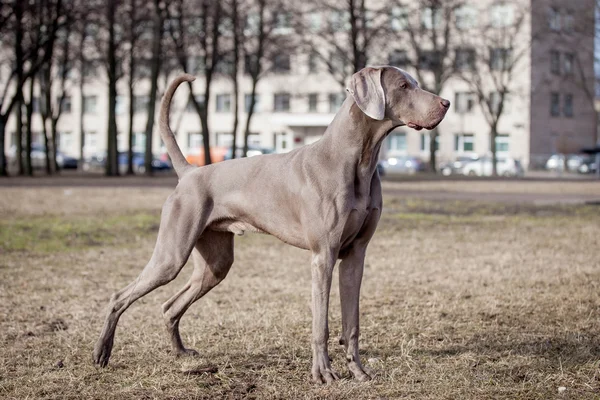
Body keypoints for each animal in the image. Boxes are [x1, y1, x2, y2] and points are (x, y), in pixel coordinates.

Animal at [94, 66, 448, 384]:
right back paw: (102, 353)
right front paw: (323, 374)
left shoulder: (355, 255)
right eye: (403, 85)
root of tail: (190, 172)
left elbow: (352, 323)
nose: (445, 103)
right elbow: (321, 324)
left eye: (415, 82)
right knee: (119, 296)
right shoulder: (323, 256)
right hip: (172, 254)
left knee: (170, 306)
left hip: (215, 263)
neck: (357, 160)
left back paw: (182, 355)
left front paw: (358, 372)